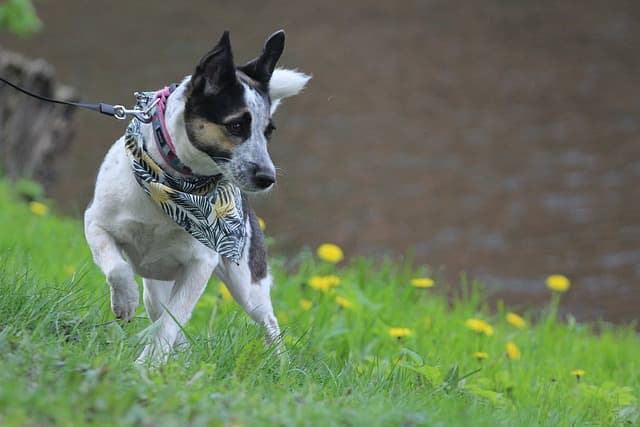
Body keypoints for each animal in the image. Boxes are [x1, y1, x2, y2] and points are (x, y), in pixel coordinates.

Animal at [84, 30, 310, 364]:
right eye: (236, 125)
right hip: (156, 287)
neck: (173, 185)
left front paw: (148, 365)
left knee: (267, 321)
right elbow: (118, 268)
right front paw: (124, 301)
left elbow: (173, 320)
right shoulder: (96, 224)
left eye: (268, 131)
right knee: (158, 308)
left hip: (247, 284)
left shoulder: (200, 264)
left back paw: (279, 364)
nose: (268, 178)